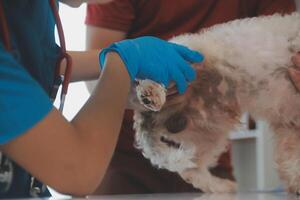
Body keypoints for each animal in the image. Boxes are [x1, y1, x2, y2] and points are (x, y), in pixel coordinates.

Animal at [132, 12, 300, 194]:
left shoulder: (289, 125)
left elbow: (293, 160)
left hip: (210, 132)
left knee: (191, 170)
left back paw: (221, 187)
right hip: (187, 57)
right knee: (155, 71)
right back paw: (151, 92)